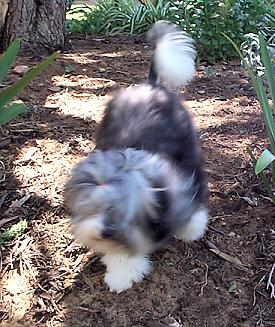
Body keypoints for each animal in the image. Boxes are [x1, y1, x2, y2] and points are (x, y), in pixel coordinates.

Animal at [64, 20, 209, 294]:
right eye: (93, 205)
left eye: (125, 210)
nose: (107, 231)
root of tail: (150, 85)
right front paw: (122, 273)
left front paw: (190, 228)